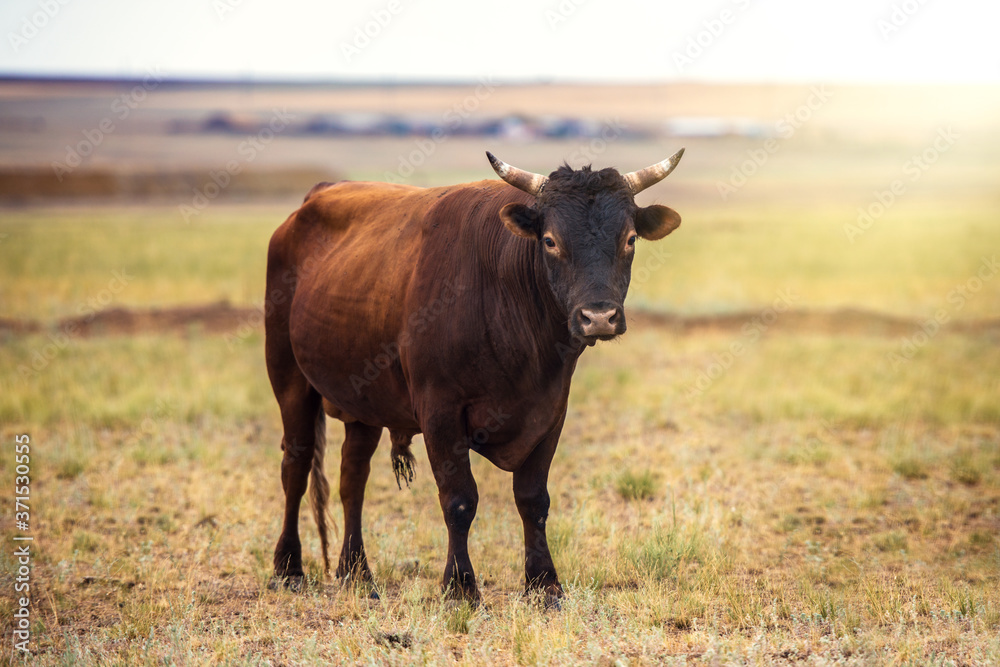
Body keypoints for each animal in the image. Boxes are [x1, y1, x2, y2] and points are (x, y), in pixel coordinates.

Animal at [266, 149, 688, 604]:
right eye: (550, 241)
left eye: (630, 239)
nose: (598, 317)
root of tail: (313, 199)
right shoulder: (439, 413)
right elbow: (459, 499)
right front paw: (460, 585)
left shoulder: (550, 412)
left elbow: (533, 499)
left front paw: (544, 583)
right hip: (289, 380)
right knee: (296, 466)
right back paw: (288, 566)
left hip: (363, 401)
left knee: (352, 478)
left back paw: (357, 571)